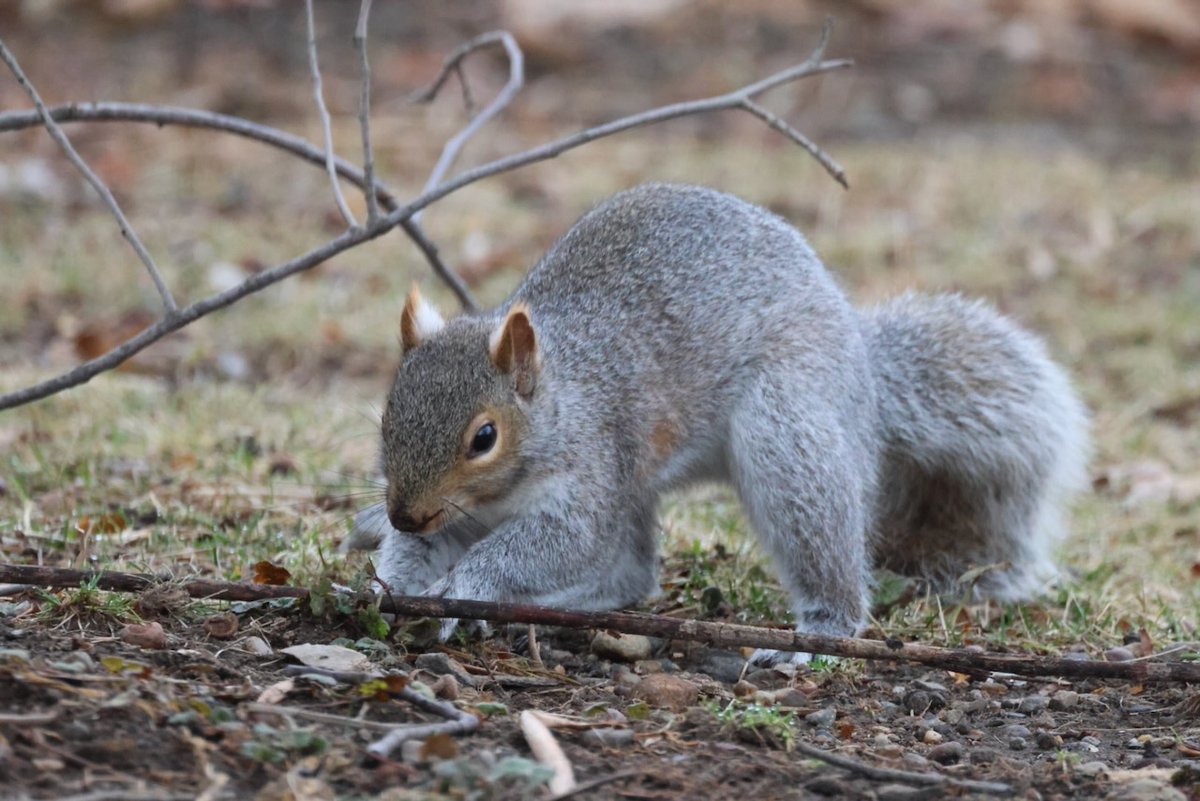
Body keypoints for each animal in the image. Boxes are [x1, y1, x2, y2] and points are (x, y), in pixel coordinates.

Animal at [347, 183, 1089, 664]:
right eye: (389, 414)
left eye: (484, 437)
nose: (406, 512)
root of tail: (861, 365)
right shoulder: (461, 513)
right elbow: (432, 551)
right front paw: (394, 586)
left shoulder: (590, 476)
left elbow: (548, 543)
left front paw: (461, 589)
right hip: (645, 484)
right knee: (632, 570)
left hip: (785, 427)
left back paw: (819, 634)